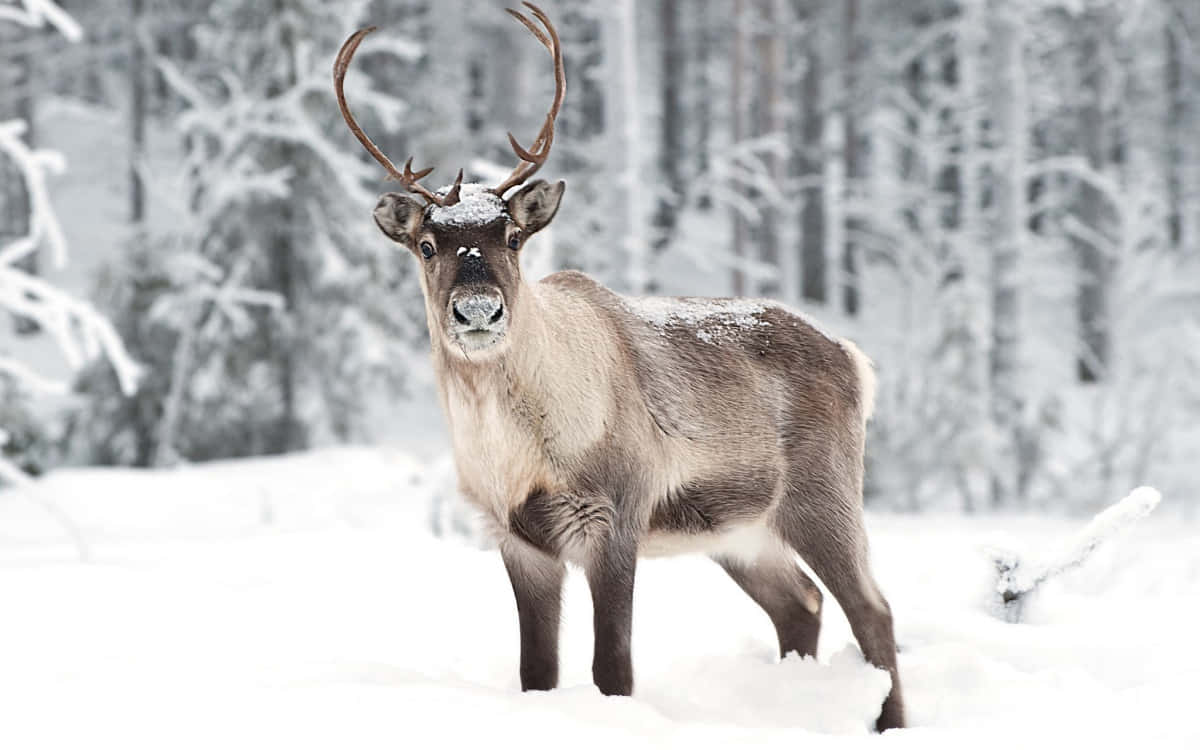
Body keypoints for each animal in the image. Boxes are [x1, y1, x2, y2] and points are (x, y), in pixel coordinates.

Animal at [334, 3, 904, 732]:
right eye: (428, 244)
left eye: (512, 238)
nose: (478, 311)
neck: (516, 450)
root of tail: (854, 359)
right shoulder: (518, 539)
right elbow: (537, 673)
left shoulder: (613, 518)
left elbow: (614, 670)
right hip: (741, 532)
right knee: (801, 604)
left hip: (822, 494)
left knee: (873, 610)